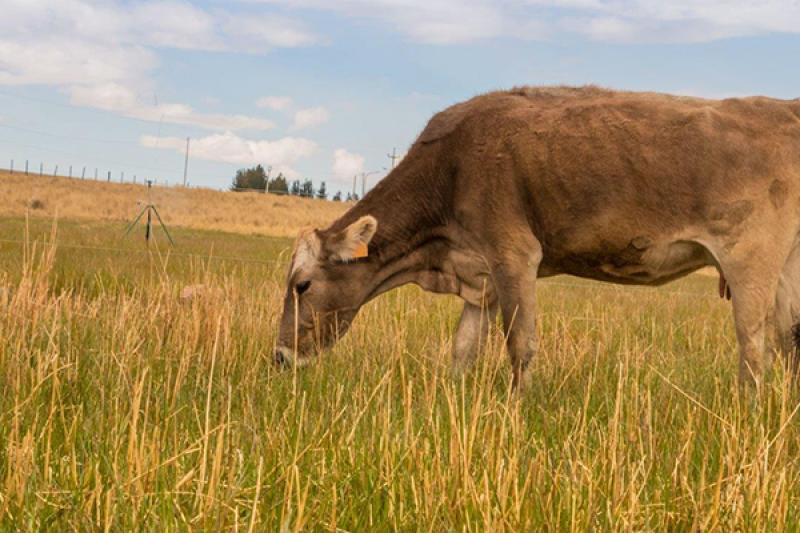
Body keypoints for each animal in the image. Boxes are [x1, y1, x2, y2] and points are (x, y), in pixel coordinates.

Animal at [276, 86, 800, 386]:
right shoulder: (479, 275)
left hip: (750, 258)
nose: (280, 358)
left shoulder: (513, 253)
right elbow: (463, 350)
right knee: (790, 339)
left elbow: (520, 344)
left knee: (754, 346)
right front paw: (451, 402)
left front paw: (517, 407)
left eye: (302, 285)